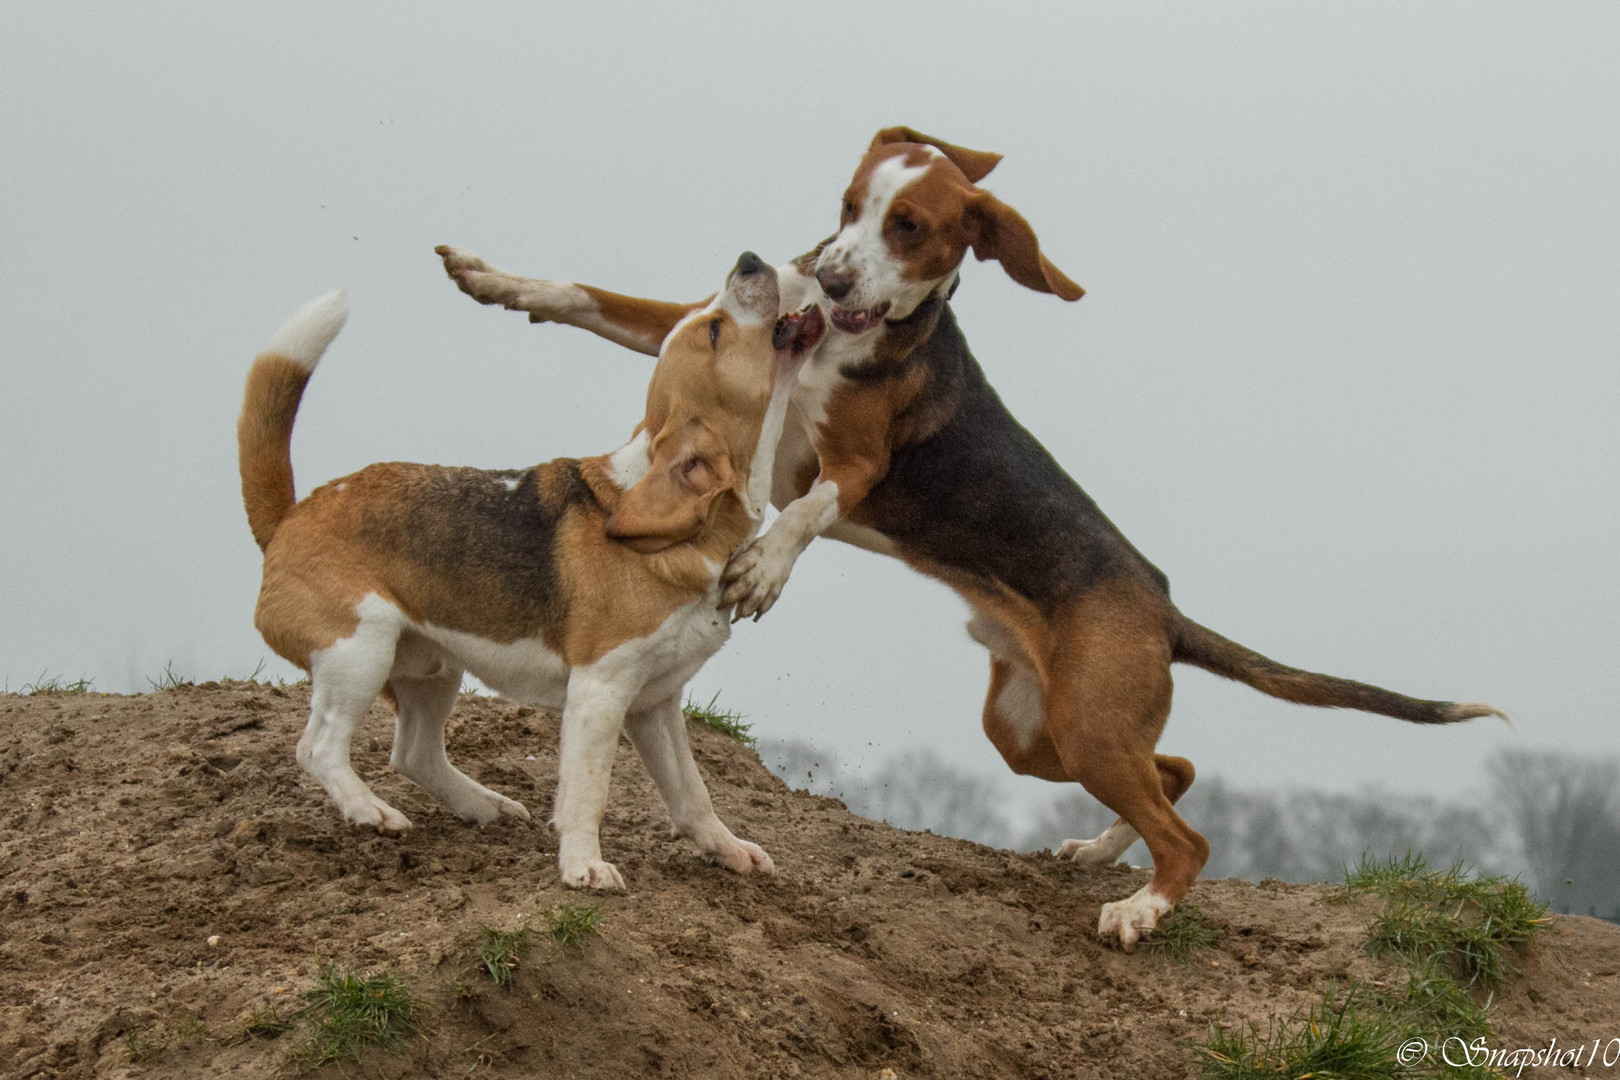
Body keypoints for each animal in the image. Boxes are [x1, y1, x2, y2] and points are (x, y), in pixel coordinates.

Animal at [236, 250, 822, 887]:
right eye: (713, 330)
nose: (750, 260)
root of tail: (291, 515)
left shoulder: (654, 703)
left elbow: (692, 793)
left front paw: (726, 848)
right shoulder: (600, 691)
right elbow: (588, 791)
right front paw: (584, 865)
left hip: (430, 668)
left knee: (413, 753)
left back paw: (483, 805)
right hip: (360, 652)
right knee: (318, 748)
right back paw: (370, 810)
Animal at [434, 127, 1503, 945]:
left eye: (911, 229)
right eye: (848, 206)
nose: (824, 275)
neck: (847, 337)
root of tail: (1162, 605)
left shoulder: (847, 467)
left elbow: (806, 513)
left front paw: (765, 567)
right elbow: (598, 301)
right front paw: (496, 282)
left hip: (1085, 723)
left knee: (1186, 832)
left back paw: (1140, 908)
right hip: (1037, 731)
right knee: (1175, 776)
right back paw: (1102, 854)